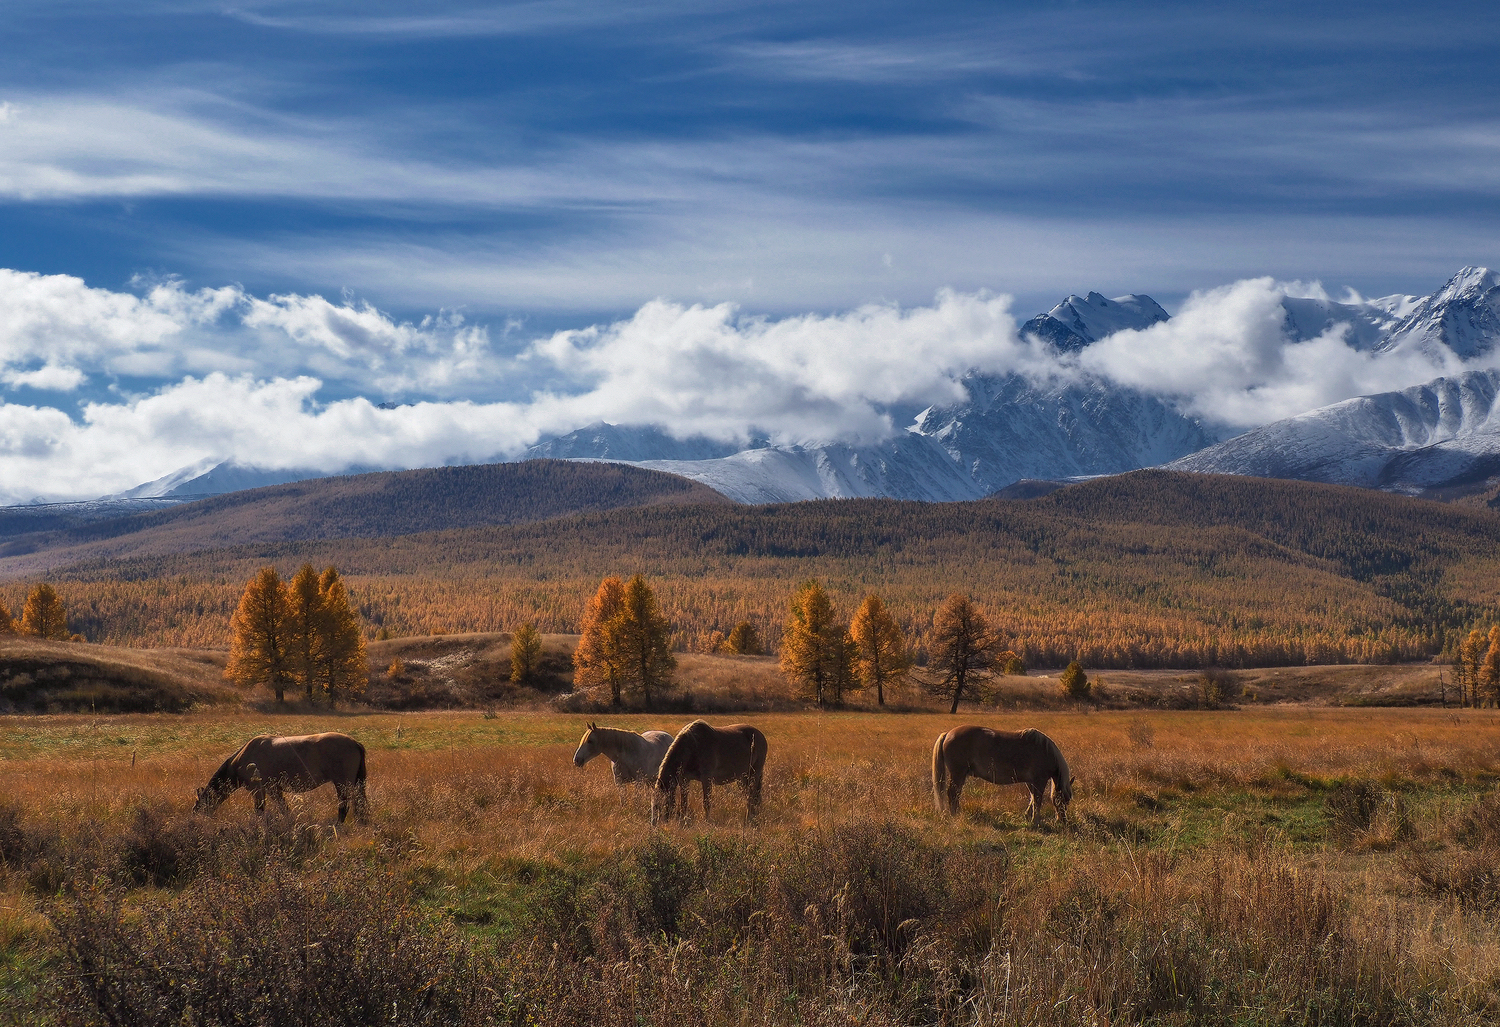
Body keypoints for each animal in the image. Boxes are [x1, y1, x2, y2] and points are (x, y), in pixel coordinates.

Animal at [193, 728, 369, 827]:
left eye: (200, 805)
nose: (196, 820)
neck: (241, 760)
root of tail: (355, 743)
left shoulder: (259, 789)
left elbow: (260, 810)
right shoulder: (273, 789)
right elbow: (284, 808)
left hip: (342, 783)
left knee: (344, 806)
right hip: (355, 784)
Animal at [930, 719, 1074, 827]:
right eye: (1062, 799)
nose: (1062, 821)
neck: (1045, 751)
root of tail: (948, 734)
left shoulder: (1031, 781)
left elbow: (1032, 798)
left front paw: (1028, 817)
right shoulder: (1039, 781)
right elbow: (1037, 800)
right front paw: (1035, 821)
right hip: (958, 774)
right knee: (953, 793)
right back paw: (955, 815)